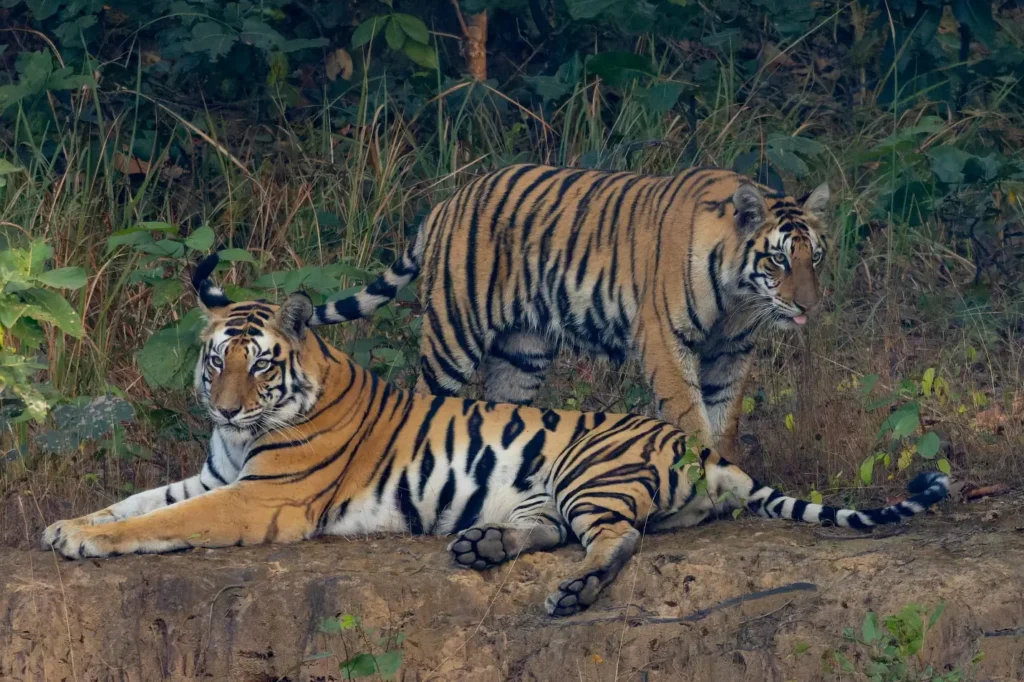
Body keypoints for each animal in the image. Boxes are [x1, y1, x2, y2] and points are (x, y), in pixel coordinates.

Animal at [40, 253, 949, 617]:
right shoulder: (215, 473)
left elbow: (162, 522)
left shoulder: (257, 498)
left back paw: (573, 594)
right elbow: (136, 500)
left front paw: (85, 542)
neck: (245, 439)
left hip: (591, 471)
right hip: (553, 490)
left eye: (259, 365)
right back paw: (482, 546)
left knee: (617, 542)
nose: (227, 410)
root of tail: (701, 447)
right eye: (213, 361)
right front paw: (66, 525)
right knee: (553, 531)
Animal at [305, 164, 831, 459]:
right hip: (453, 334)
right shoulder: (665, 339)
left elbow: (726, 414)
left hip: (522, 352)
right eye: (778, 259)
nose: (809, 305)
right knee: (425, 397)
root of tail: (447, 202)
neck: (738, 296)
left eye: (816, 257)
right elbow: (690, 412)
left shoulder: (732, 349)